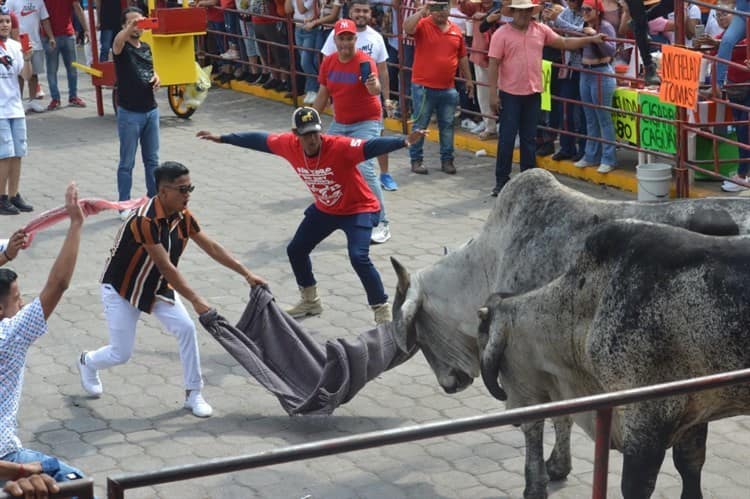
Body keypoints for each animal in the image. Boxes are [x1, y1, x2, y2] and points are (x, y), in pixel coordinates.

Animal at [390, 171, 750, 496]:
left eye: (418, 335)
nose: (448, 384)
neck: (490, 258)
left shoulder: (526, 363)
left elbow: (543, 422)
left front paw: (542, 476)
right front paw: (558, 465)